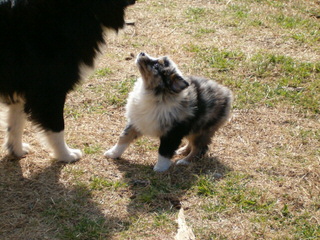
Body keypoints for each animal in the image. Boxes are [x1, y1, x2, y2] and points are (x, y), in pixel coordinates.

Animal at [0, 0, 136, 162]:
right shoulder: (50, 90)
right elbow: (57, 126)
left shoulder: (23, 88)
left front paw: (17, 150)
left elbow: (15, 123)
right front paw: (66, 155)